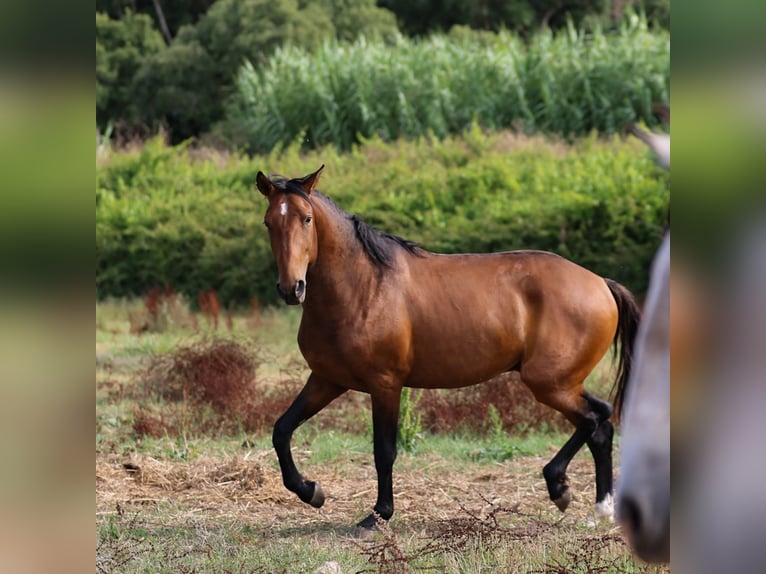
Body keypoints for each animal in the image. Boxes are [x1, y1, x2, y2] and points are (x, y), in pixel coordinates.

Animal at [258, 166, 640, 536]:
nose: (292, 288)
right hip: (560, 383)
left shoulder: (385, 384)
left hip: (550, 382)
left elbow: (384, 451)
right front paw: (311, 491)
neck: (363, 286)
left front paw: (378, 516)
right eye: (268, 222)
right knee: (601, 425)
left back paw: (560, 488)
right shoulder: (327, 380)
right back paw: (599, 509)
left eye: (307, 218)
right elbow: (282, 430)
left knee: (595, 418)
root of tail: (600, 284)